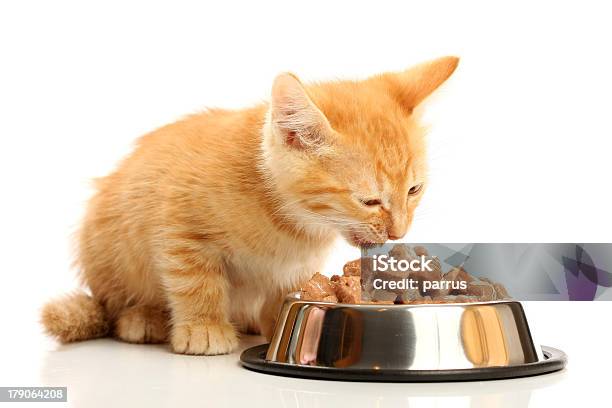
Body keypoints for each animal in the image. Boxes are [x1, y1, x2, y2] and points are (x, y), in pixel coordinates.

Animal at [39, 56, 460, 354]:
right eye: (369, 200)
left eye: (414, 190)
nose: (399, 232)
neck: (292, 221)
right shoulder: (179, 229)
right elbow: (196, 282)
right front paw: (204, 327)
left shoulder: (298, 267)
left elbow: (286, 291)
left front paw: (276, 324)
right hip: (109, 247)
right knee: (116, 304)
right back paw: (143, 318)